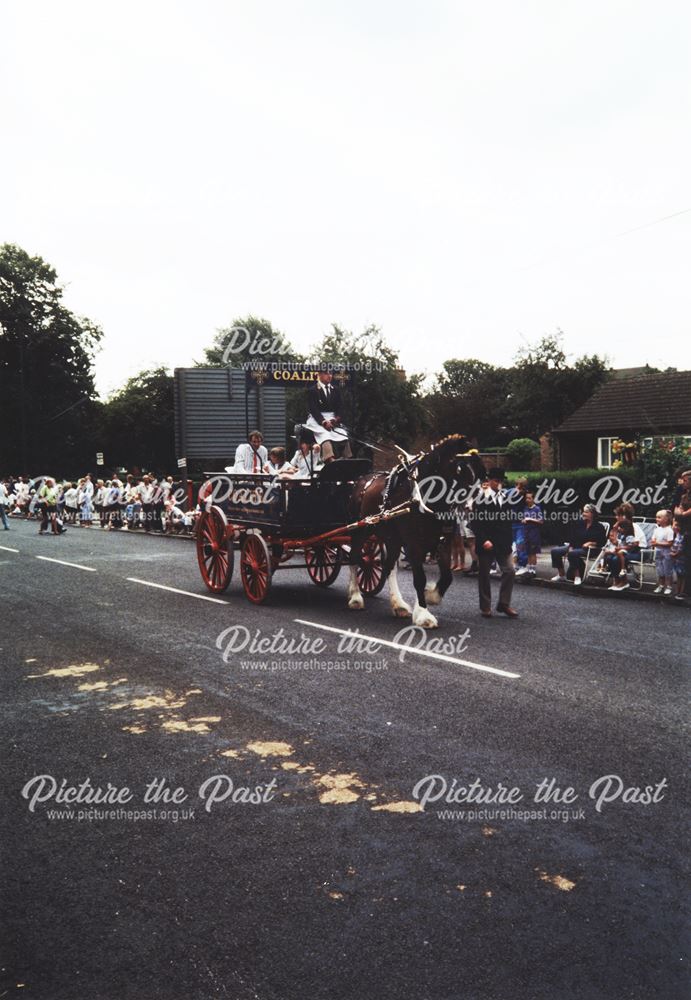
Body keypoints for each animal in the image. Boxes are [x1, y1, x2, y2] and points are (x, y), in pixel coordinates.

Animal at [346, 436, 486, 624]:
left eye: (479, 471)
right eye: (459, 468)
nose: (472, 507)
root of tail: (362, 479)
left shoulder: (442, 542)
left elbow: (447, 577)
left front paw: (430, 596)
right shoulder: (414, 545)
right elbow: (420, 579)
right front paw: (424, 614)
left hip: (392, 539)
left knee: (388, 565)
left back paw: (398, 604)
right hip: (361, 531)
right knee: (354, 556)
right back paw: (355, 597)